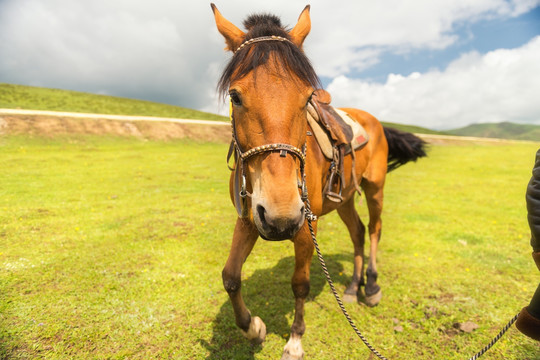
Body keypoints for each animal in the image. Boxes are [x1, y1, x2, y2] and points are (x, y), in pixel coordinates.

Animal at [211, 3, 426, 360]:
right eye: (236, 96)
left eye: (307, 97)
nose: (281, 215)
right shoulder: (250, 219)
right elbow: (230, 276)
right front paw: (253, 328)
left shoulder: (305, 226)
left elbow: (300, 283)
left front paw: (295, 339)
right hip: (344, 198)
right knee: (358, 231)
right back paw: (352, 287)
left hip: (374, 189)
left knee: (375, 229)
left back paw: (371, 285)